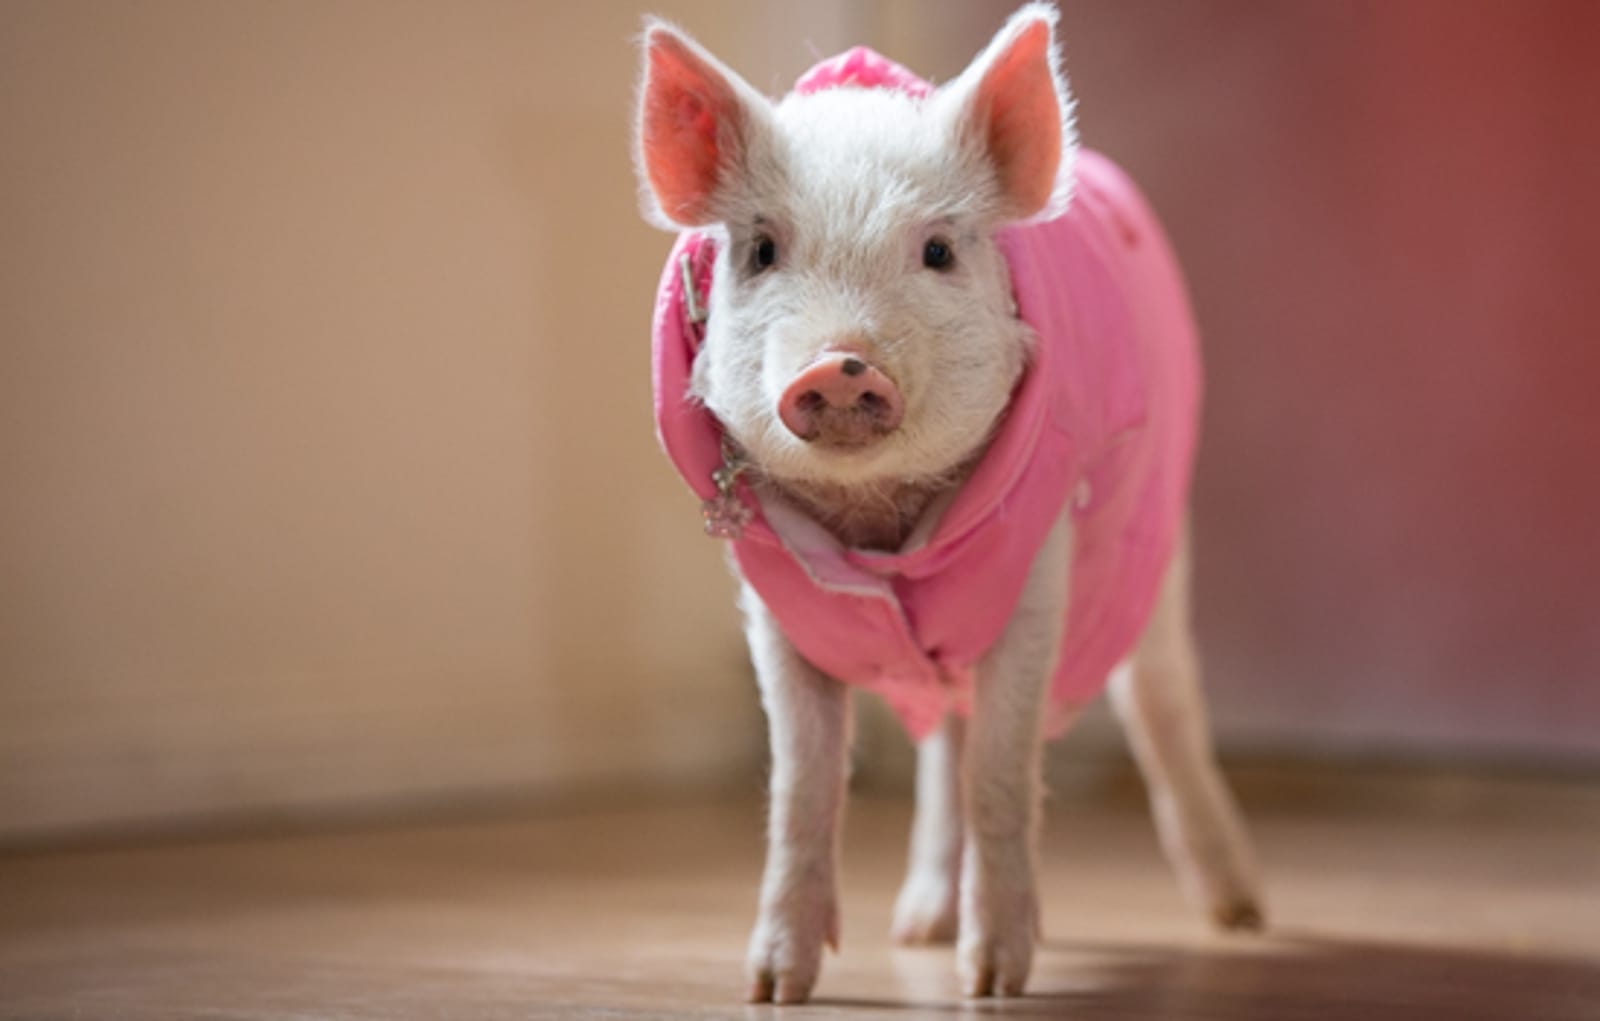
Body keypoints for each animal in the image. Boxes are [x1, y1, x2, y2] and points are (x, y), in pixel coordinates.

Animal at [633, 2, 1264, 1003]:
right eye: (762, 250)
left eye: (936, 250)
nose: (839, 362)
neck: (880, 525)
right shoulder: (777, 615)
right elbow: (801, 784)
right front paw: (771, 988)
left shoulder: (1036, 575)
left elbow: (1002, 771)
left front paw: (995, 983)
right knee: (943, 745)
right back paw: (919, 927)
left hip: (1163, 562)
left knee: (1162, 707)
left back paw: (1242, 915)